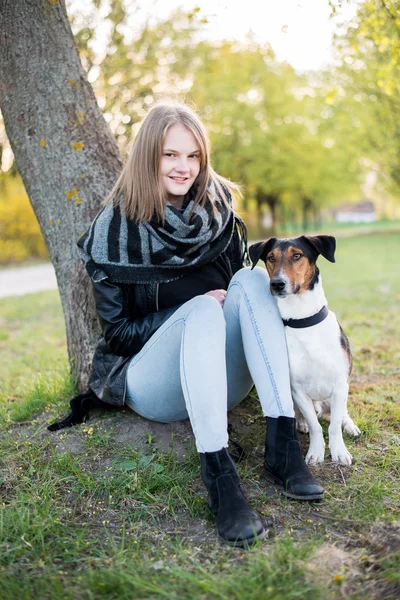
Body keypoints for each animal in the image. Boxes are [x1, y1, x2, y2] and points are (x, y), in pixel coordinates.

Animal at [250, 237, 360, 466]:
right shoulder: (298, 390)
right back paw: (301, 423)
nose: (277, 284)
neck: (303, 321)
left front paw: (339, 452)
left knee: (341, 413)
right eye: (271, 257)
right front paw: (316, 452)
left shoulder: (339, 385)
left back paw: (350, 426)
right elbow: (315, 426)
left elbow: (334, 425)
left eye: (297, 255)